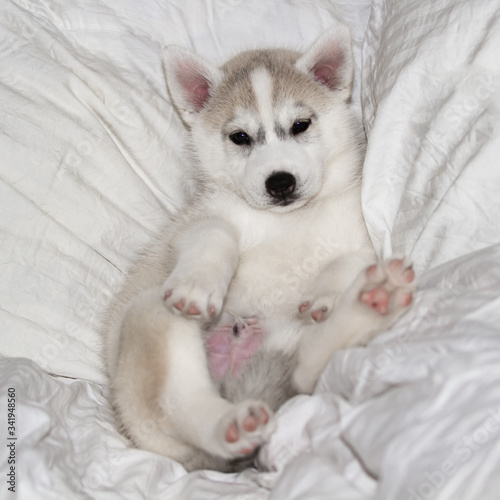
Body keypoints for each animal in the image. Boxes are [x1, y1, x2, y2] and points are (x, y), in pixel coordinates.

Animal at [103, 26, 416, 472]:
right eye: (240, 137)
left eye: (300, 125)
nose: (280, 181)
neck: (286, 221)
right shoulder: (199, 220)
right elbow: (215, 235)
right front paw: (198, 284)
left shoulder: (360, 235)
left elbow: (349, 259)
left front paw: (328, 293)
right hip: (151, 317)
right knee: (180, 404)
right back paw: (229, 423)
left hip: (290, 345)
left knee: (306, 368)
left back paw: (372, 301)